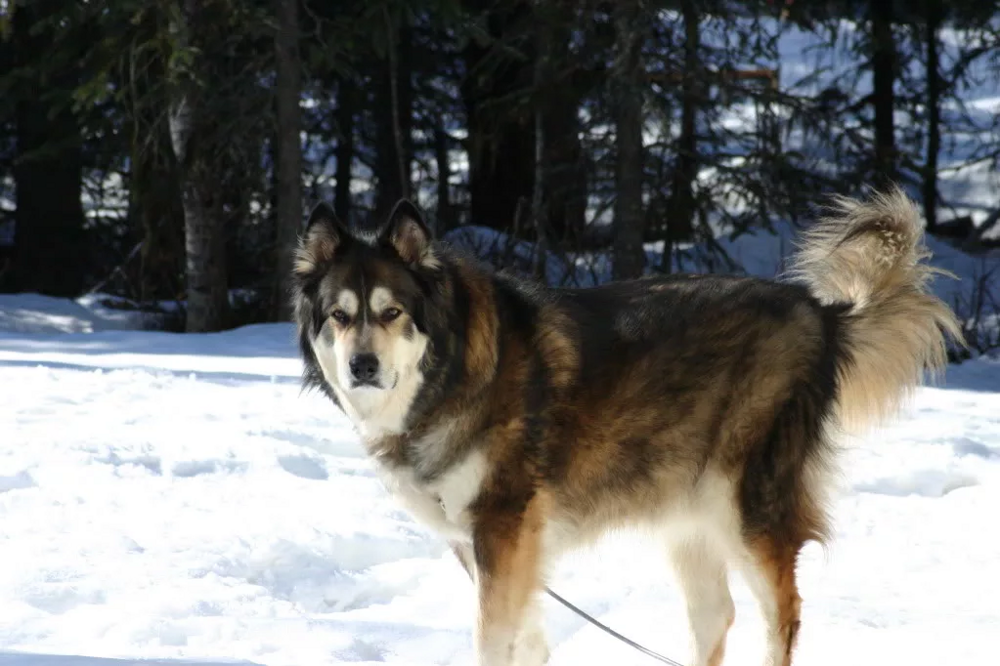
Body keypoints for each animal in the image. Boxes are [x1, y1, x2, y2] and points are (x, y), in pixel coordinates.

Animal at [290, 188, 960, 664]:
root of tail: (820, 313)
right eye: (339, 317)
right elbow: (526, 639)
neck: (450, 373)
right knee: (715, 617)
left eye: (392, 313)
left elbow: (492, 640)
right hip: (689, 514)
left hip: (747, 507)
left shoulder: (503, 528)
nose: (362, 366)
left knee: (783, 617)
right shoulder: (490, 546)